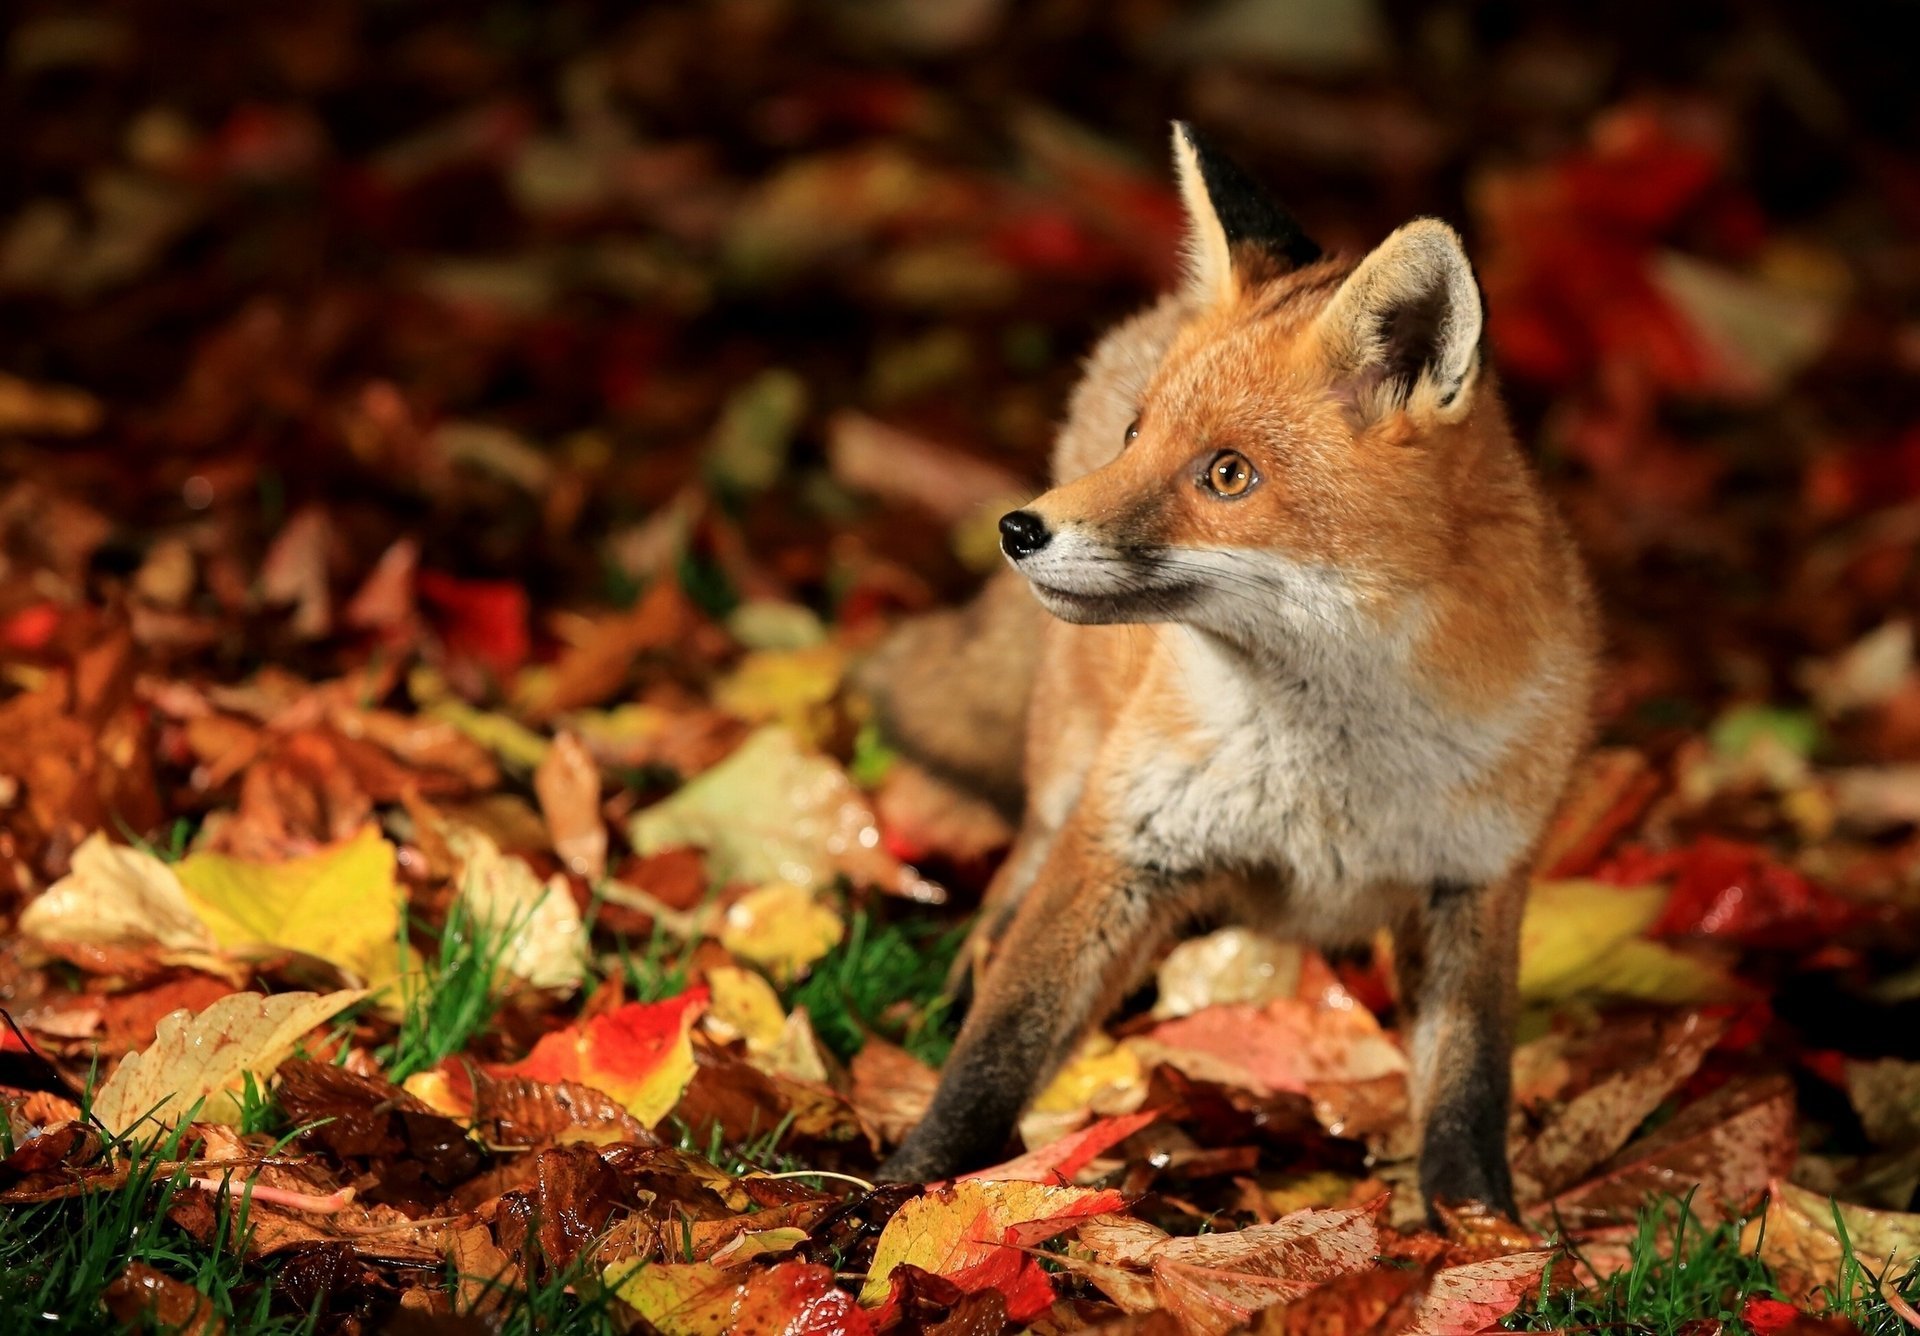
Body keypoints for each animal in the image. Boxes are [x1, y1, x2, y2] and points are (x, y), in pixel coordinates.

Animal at [865, 123, 1599, 1218]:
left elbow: (1469, 1094)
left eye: (1227, 474)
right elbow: (1000, 1046)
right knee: (1010, 887)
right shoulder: (1122, 840)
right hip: (1071, 770)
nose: (1019, 529)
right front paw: (900, 1194)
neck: (1331, 775)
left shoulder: (1475, 880)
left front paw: (1483, 1231)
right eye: (1138, 436)